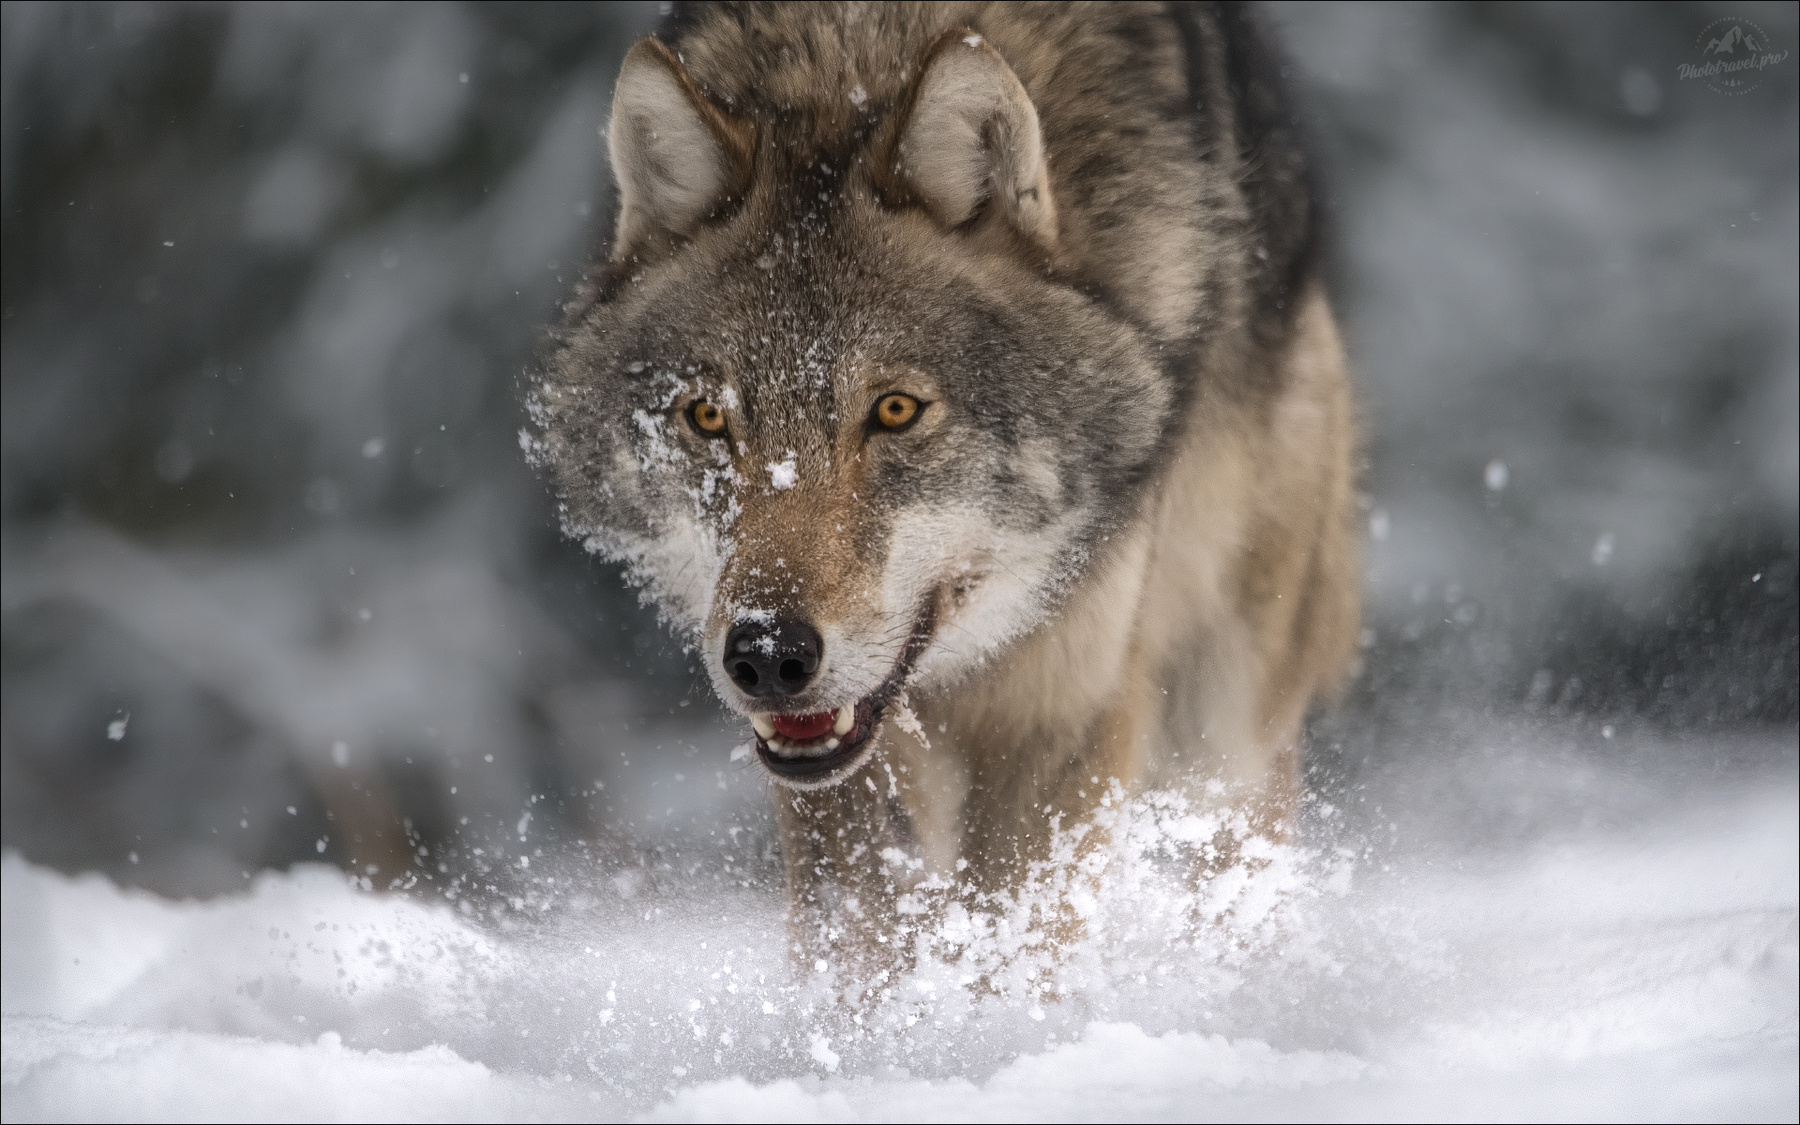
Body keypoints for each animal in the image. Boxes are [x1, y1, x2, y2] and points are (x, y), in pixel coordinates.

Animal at [531, 1, 1359, 975]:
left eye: (894, 410)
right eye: (706, 417)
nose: (768, 654)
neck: (855, 57)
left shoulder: (1066, 711)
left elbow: (1011, 946)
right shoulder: (837, 767)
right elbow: (860, 943)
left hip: (1226, 713)